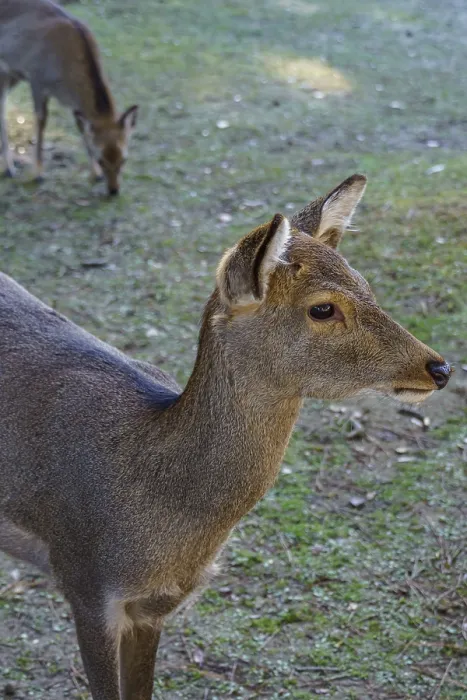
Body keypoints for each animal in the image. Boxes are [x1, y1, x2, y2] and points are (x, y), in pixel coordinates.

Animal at [0, 0, 138, 195]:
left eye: (124, 159)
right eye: (101, 158)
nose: (114, 190)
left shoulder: (74, 104)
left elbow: (81, 126)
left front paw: (95, 174)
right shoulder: (36, 79)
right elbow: (41, 122)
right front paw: (39, 174)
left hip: (10, 75)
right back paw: (9, 168)